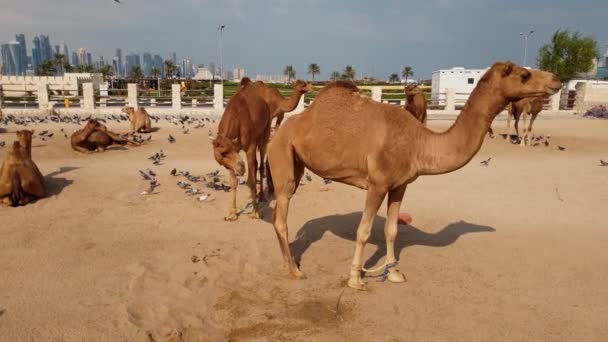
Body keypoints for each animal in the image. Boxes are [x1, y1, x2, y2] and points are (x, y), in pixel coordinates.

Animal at [213, 77, 272, 220]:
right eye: (223, 162)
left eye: (226, 152)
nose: (241, 167)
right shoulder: (236, 151)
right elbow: (233, 182)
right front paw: (232, 214)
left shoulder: (249, 147)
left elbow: (251, 179)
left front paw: (255, 212)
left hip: (265, 133)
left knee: (260, 164)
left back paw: (261, 196)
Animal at [266, 60, 560, 288]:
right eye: (524, 74)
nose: (556, 80)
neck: (419, 142)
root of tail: (279, 130)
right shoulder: (377, 184)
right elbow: (364, 231)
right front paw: (355, 279)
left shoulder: (400, 185)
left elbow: (391, 229)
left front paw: (394, 273)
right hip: (282, 154)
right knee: (282, 214)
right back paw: (295, 270)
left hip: (296, 161)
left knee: (278, 212)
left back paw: (287, 263)